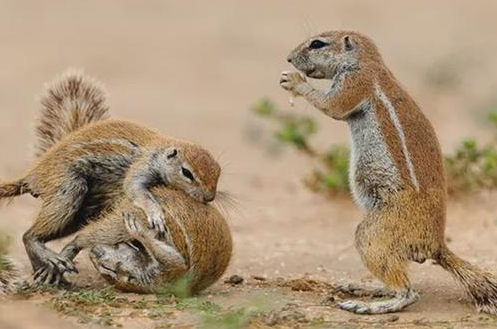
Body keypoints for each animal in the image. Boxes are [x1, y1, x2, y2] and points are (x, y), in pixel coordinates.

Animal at [61, 186, 232, 294]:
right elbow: (174, 261)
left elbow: (175, 262)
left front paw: (140, 233)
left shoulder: (166, 277)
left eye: (111, 268)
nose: (95, 253)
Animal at [280, 31, 494, 316]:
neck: (367, 63)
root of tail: (436, 245)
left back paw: (369, 305)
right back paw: (366, 288)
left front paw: (293, 81)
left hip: (376, 233)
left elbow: (332, 107)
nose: (289, 58)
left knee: (408, 293)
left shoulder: (354, 84)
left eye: (317, 43)